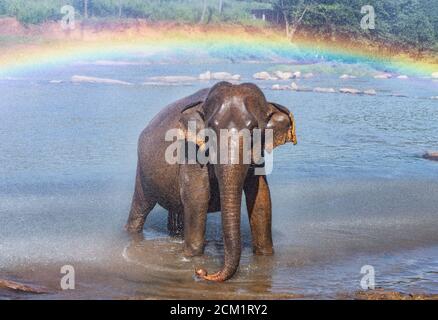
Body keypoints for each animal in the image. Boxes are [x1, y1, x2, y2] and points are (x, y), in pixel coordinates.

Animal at [126, 81, 298, 282]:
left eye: (254, 129)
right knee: (140, 207)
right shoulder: (191, 152)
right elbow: (198, 197)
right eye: (211, 130)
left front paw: (265, 255)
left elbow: (261, 197)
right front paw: (192, 257)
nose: (202, 272)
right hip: (143, 171)